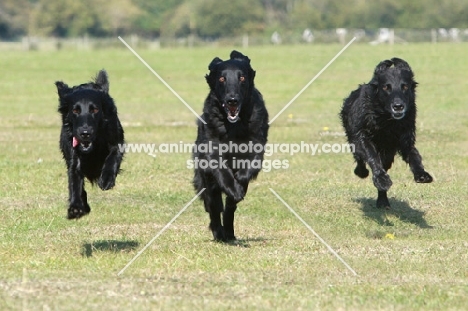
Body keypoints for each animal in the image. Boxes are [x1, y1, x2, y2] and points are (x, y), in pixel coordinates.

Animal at [192, 50, 268, 241]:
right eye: (221, 78)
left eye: (242, 78)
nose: (232, 100)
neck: (233, 126)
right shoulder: (211, 150)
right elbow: (222, 171)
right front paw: (233, 187)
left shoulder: (257, 143)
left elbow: (251, 164)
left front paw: (239, 180)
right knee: (213, 205)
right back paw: (219, 232)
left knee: (229, 208)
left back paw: (229, 232)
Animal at [340, 58, 432, 210]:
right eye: (386, 87)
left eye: (405, 87)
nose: (398, 106)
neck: (387, 120)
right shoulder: (362, 137)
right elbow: (372, 157)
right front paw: (381, 179)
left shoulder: (404, 139)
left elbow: (414, 156)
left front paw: (422, 174)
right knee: (359, 158)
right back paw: (362, 172)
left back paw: (382, 201)